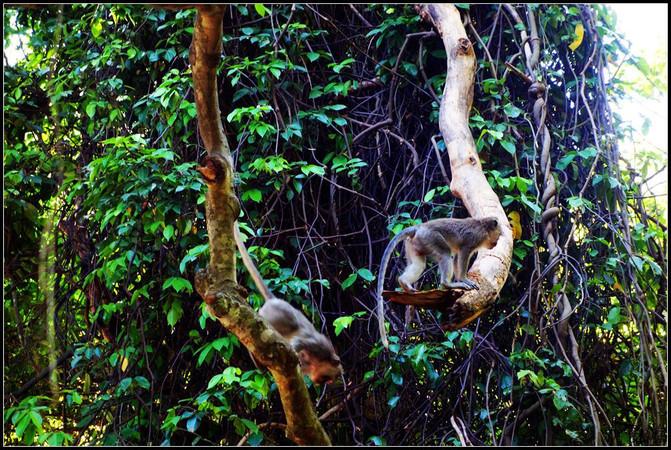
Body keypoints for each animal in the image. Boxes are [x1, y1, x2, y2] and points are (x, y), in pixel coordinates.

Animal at [234, 223, 344, 384]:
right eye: (329, 377)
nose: (326, 382)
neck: (318, 361)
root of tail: (274, 300)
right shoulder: (319, 347)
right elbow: (299, 343)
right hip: (274, 315)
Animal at [376, 217, 502, 348]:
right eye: (498, 235)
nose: (496, 243)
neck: (483, 227)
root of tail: (420, 227)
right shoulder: (475, 238)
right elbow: (463, 253)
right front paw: (463, 279)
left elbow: (457, 257)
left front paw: (460, 279)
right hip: (430, 237)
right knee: (445, 253)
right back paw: (446, 284)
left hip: (414, 242)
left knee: (419, 264)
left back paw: (404, 282)